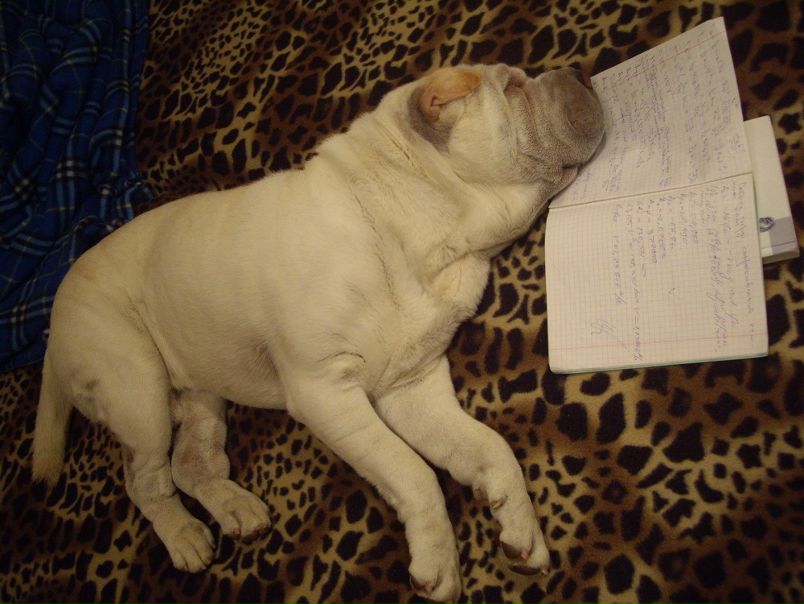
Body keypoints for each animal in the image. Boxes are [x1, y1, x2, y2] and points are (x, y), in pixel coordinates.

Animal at [33, 63, 603, 601]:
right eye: (513, 88)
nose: (577, 70)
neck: (417, 231)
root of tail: (53, 320)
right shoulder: (326, 393)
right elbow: (412, 471)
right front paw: (438, 563)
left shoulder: (412, 388)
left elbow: (488, 447)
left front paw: (519, 528)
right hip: (138, 391)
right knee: (144, 482)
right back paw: (184, 536)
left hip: (202, 389)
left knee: (190, 464)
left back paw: (235, 510)